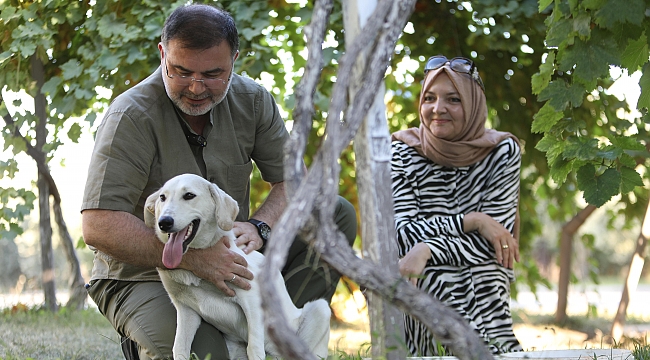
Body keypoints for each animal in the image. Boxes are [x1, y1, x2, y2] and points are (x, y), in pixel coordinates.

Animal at [145, 173, 332, 358]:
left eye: (189, 195)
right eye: (162, 197)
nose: (164, 222)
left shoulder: (252, 298)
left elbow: (254, 348)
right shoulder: (186, 310)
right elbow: (179, 348)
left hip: (320, 310)